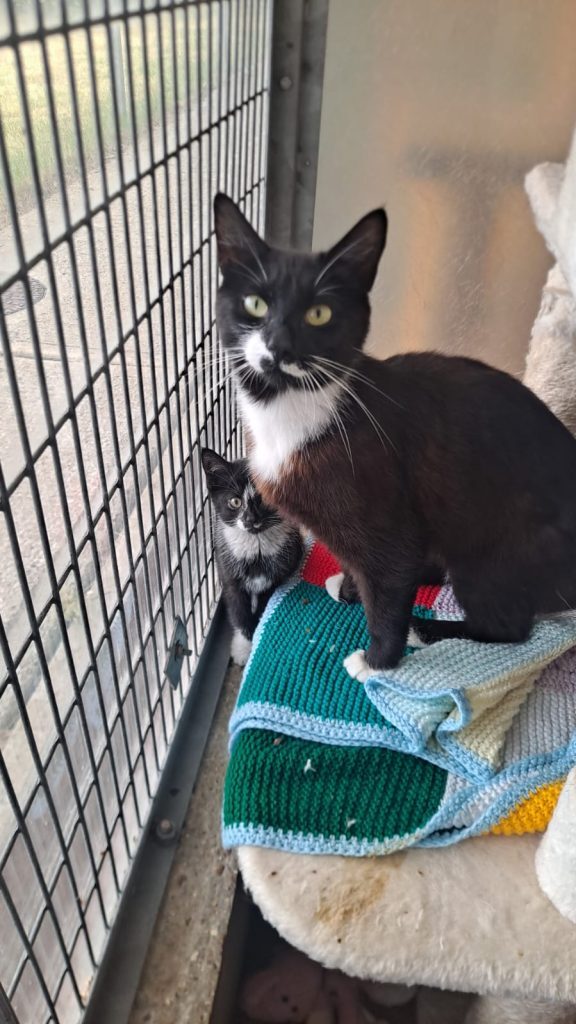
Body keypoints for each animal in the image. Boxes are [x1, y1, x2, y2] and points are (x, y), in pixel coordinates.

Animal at [200, 448, 303, 663]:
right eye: (235, 502)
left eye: (264, 498)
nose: (250, 519)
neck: (256, 549)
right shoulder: (229, 577)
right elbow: (239, 613)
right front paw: (243, 648)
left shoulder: (278, 575)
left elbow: (264, 605)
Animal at [212, 195, 576, 675]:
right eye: (255, 304)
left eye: (319, 313)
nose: (280, 348)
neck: (289, 409)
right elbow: (368, 568)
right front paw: (350, 588)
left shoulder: (386, 515)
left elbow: (387, 584)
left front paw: (377, 661)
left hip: (493, 543)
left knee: (509, 626)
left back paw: (426, 629)